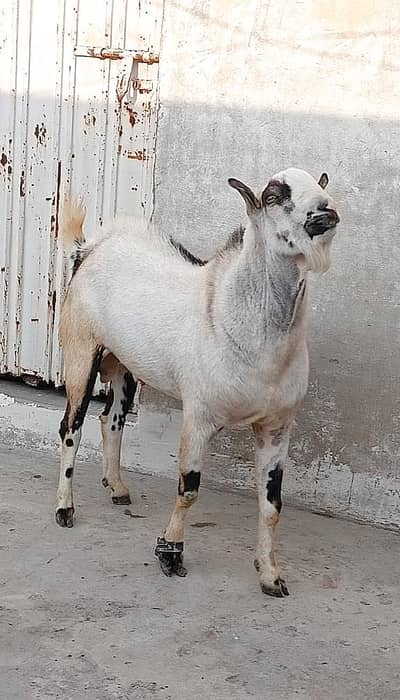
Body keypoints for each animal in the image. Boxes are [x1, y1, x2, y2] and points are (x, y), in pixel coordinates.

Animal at [56, 167, 340, 597]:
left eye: (320, 186)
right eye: (273, 197)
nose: (325, 214)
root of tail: (89, 248)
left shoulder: (277, 427)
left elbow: (272, 505)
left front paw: (270, 575)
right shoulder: (199, 417)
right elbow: (188, 489)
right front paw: (170, 554)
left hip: (122, 364)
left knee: (112, 420)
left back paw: (118, 488)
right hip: (80, 352)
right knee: (70, 427)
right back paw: (64, 509)